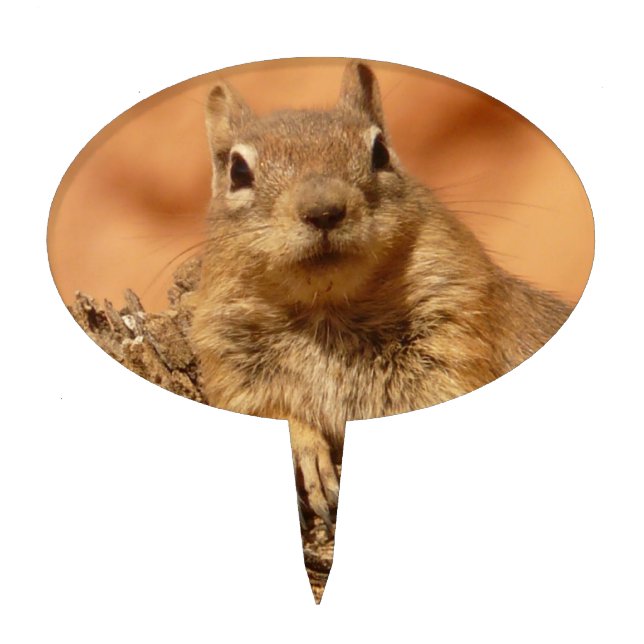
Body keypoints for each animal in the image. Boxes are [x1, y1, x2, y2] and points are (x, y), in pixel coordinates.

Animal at [190, 61, 573, 526]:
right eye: (238, 172)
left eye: (380, 152)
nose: (323, 211)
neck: (327, 311)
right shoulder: (232, 368)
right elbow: (272, 413)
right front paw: (307, 455)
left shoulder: (459, 333)